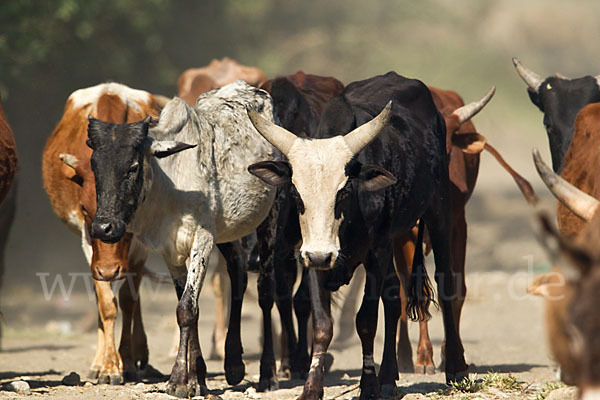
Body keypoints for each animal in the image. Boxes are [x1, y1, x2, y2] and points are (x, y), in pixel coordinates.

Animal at [41, 82, 165, 384]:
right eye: (85, 208)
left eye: (131, 208)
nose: (109, 270)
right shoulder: (88, 243)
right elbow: (106, 303)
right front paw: (108, 367)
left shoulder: (140, 245)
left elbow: (129, 299)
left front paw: (127, 361)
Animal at [246, 72, 466, 400]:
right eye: (297, 193)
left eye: (344, 191)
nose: (321, 254)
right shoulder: (315, 257)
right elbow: (322, 324)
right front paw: (312, 388)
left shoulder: (375, 253)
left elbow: (366, 321)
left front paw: (368, 386)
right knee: (393, 296)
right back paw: (389, 377)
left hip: (437, 212)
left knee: (444, 283)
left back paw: (455, 367)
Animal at [396, 86, 536, 374]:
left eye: (447, 142)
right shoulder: (408, 235)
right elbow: (418, 293)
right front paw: (423, 357)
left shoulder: (457, 225)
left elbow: (455, 289)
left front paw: (452, 353)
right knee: (402, 292)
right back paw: (403, 355)